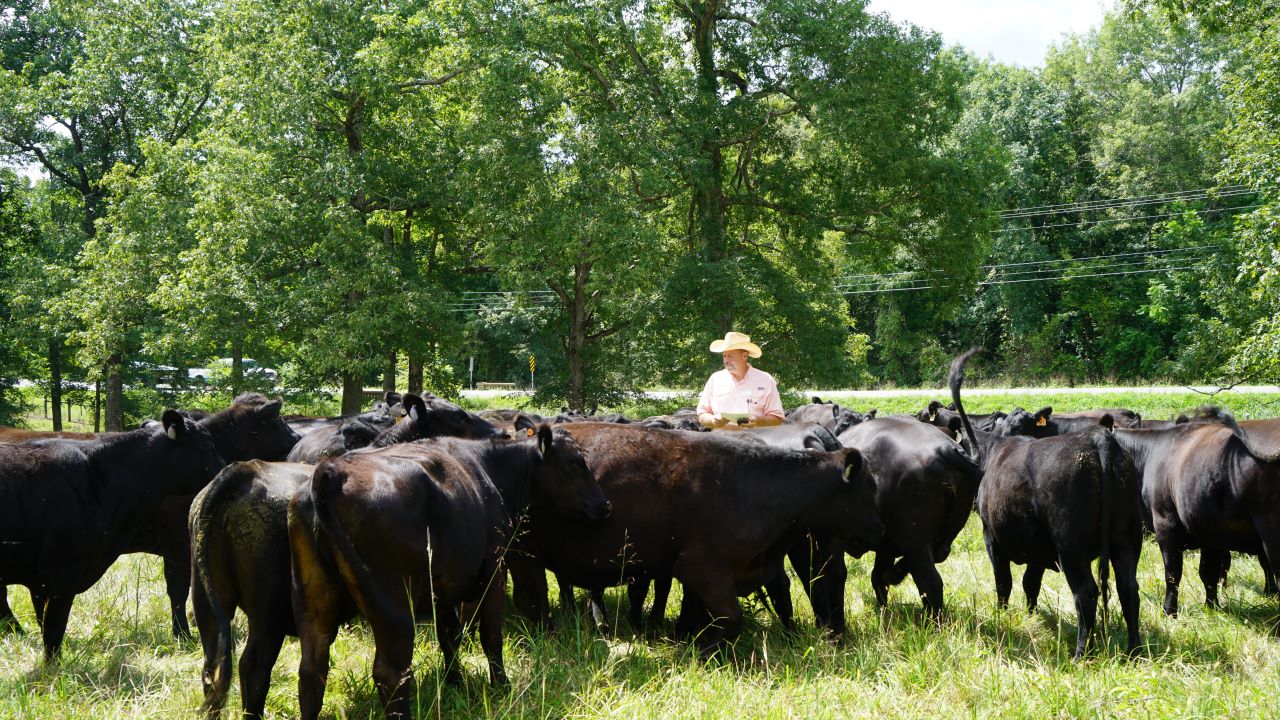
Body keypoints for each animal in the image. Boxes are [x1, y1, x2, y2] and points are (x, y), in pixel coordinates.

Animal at [290, 420, 609, 717]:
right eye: (575, 464)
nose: (604, 505)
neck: (491, 470)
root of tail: (332, 470)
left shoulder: (443, 587)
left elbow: (449, 636)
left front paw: (453, 680)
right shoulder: (494, 570)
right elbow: (490, 636)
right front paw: (501, 687)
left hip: (315, 605)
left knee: (311, 673)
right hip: (394, 610)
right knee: (390, 673)